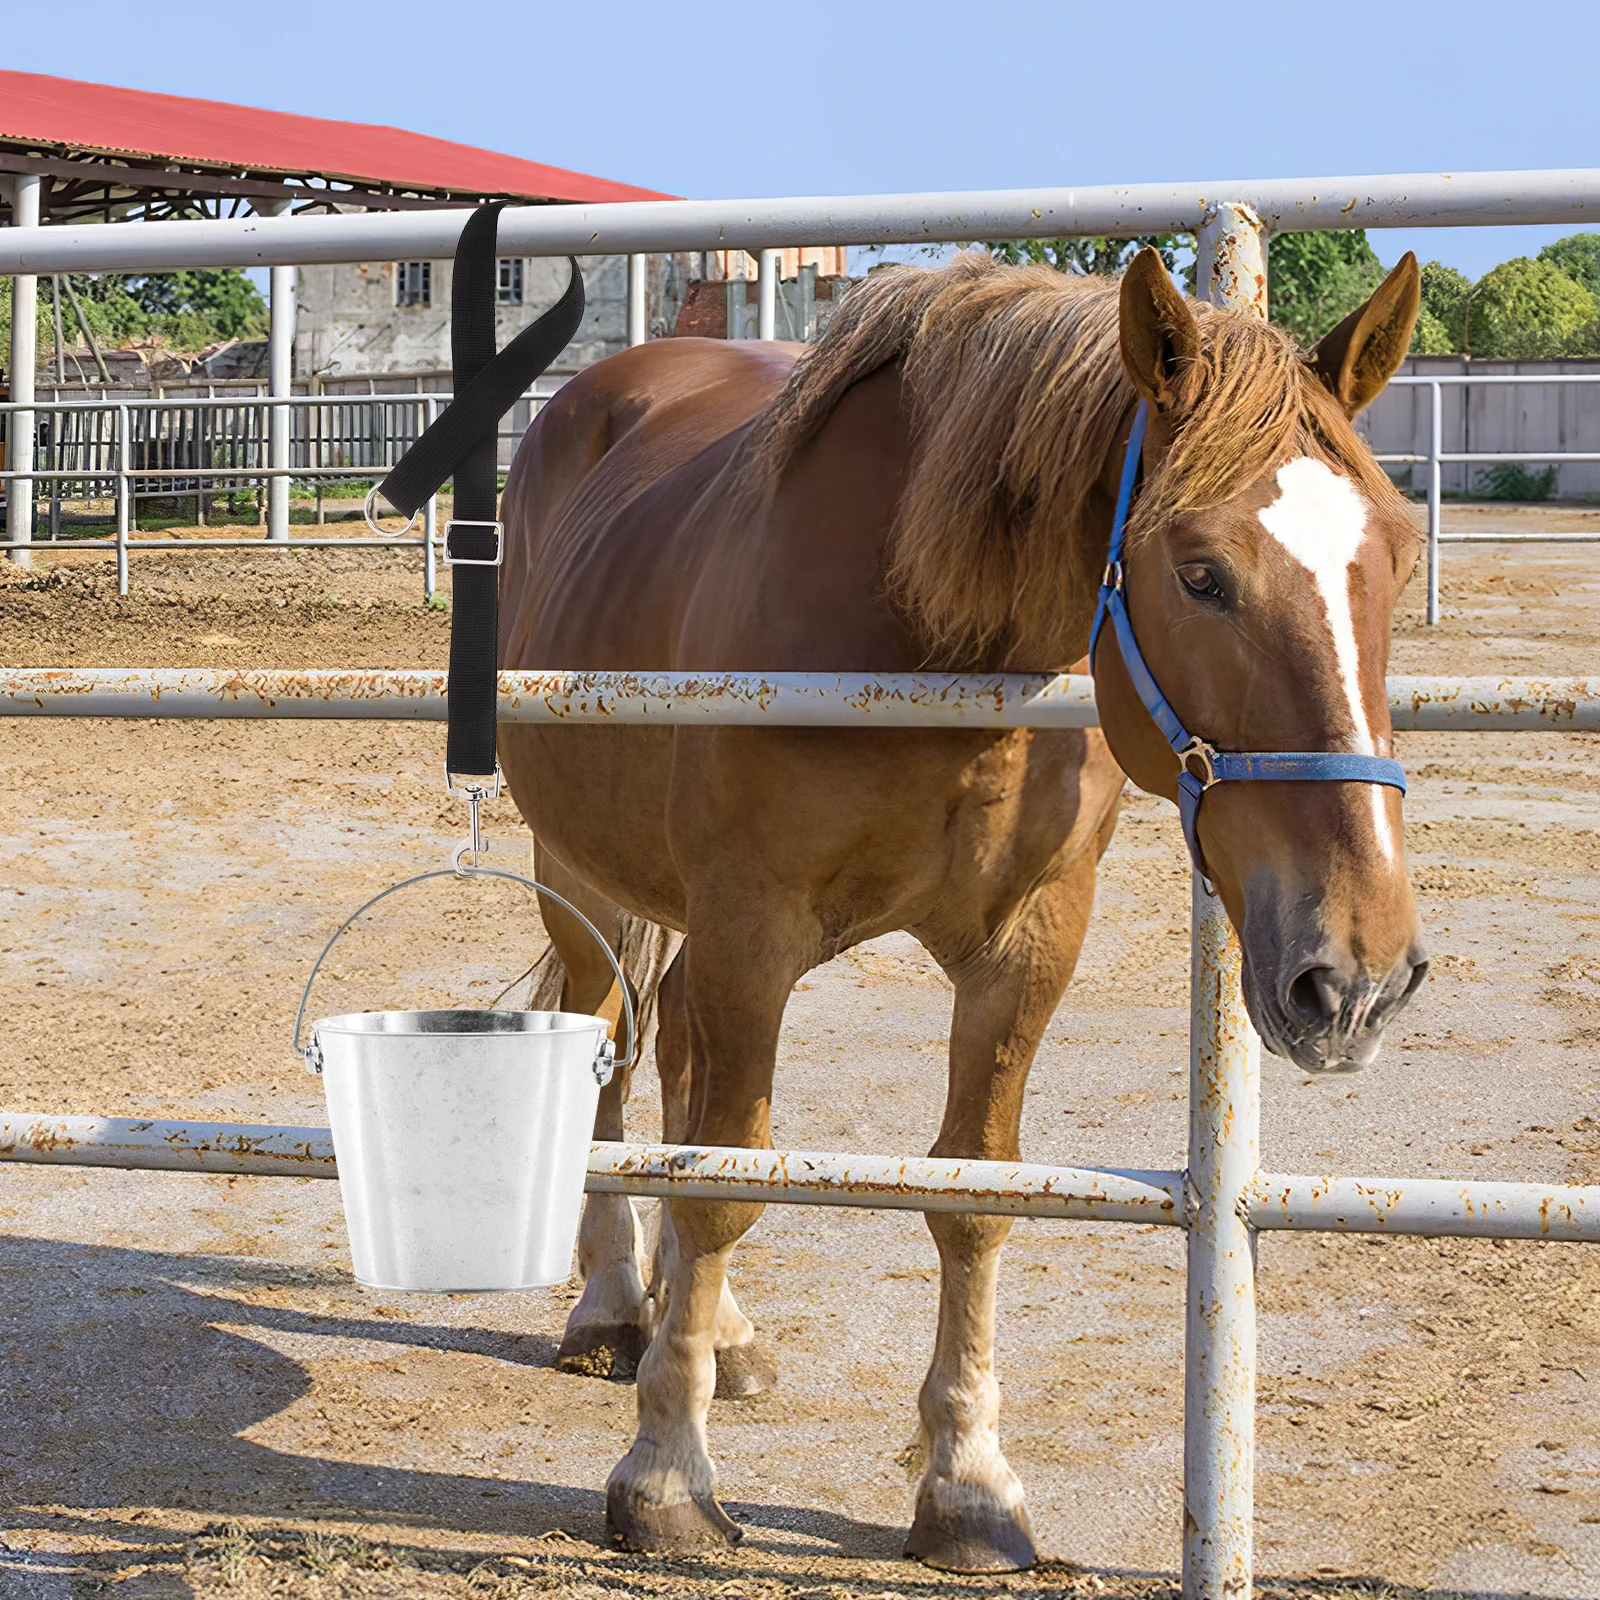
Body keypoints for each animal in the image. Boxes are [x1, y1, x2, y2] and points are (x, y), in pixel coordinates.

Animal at [494, 246, 1428, 1572]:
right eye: (1200, 574)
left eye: (1396, 557)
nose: (1357, 974)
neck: (925, 629)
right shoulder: (749, 930)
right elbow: (725, 1181)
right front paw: (665, 1472)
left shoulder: (1024, 947)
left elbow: (975, 1196)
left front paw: (969, 1485)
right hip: (585, 877)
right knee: (613, 1056)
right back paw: (617, 1309)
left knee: (669, 1060)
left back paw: (718, 1333)